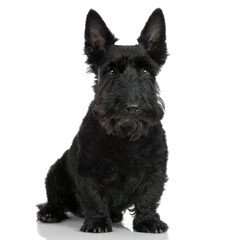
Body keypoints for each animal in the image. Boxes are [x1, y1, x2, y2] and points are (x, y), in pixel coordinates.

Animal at [37, 8, 169, 233]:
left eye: (145, 71)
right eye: (112, 71)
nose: (132, 107)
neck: (125, 138)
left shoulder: (155, 169)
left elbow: (149, 196)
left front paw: (148, 221)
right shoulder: (88, 170)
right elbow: (93, 196)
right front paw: (98, 222)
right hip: (55, 172)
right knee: (54, 199)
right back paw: (49, 213)